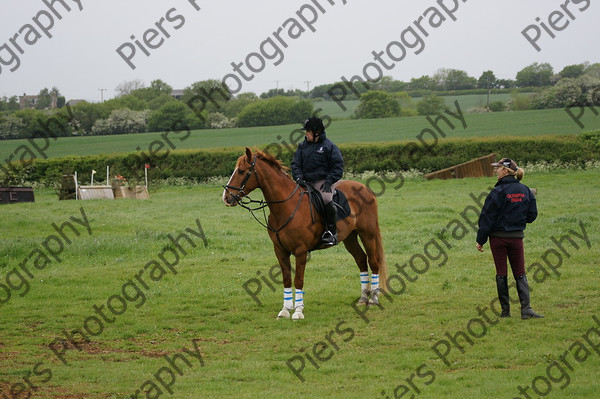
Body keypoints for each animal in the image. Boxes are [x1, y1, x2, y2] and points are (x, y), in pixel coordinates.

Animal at [221, 148, 390, 320]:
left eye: (241, 171)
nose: (226, 197)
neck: (286, 206)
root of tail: (365, 188)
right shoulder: (280, 250)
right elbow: (287, 279)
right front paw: (285, 309)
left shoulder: (300, 251)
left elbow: (298, 280)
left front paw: (298, 311)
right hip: (349, 238)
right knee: (361, 260)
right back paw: (363, 298)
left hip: (367, 234)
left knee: (373, 261)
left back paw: (373, 299)